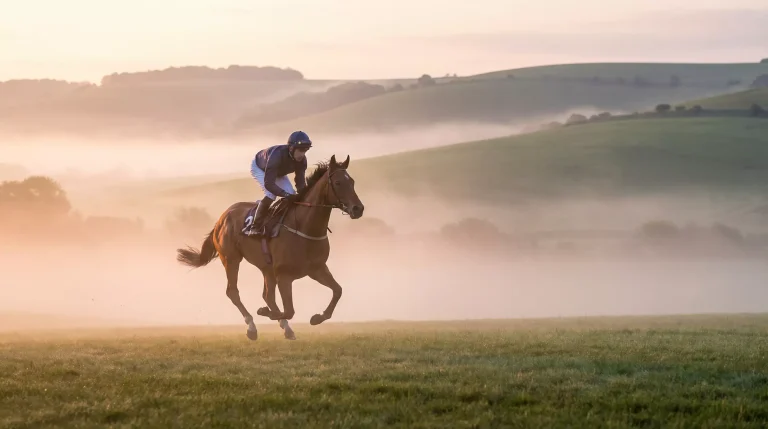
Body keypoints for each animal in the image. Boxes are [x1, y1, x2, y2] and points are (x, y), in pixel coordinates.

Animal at [176, 155, 364, 340]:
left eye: (352, 181)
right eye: (338, 182)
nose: (358, 209)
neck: (304, 228)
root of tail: (221, 218)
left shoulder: (317, 269)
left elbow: (337, 291)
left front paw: (317, 317)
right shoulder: (284, 275)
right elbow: (289, 310)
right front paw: (266, 313)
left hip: (266, 268)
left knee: (267, 295)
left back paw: (285, 328)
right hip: (231, 259)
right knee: (233, 292)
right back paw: (252, 327)